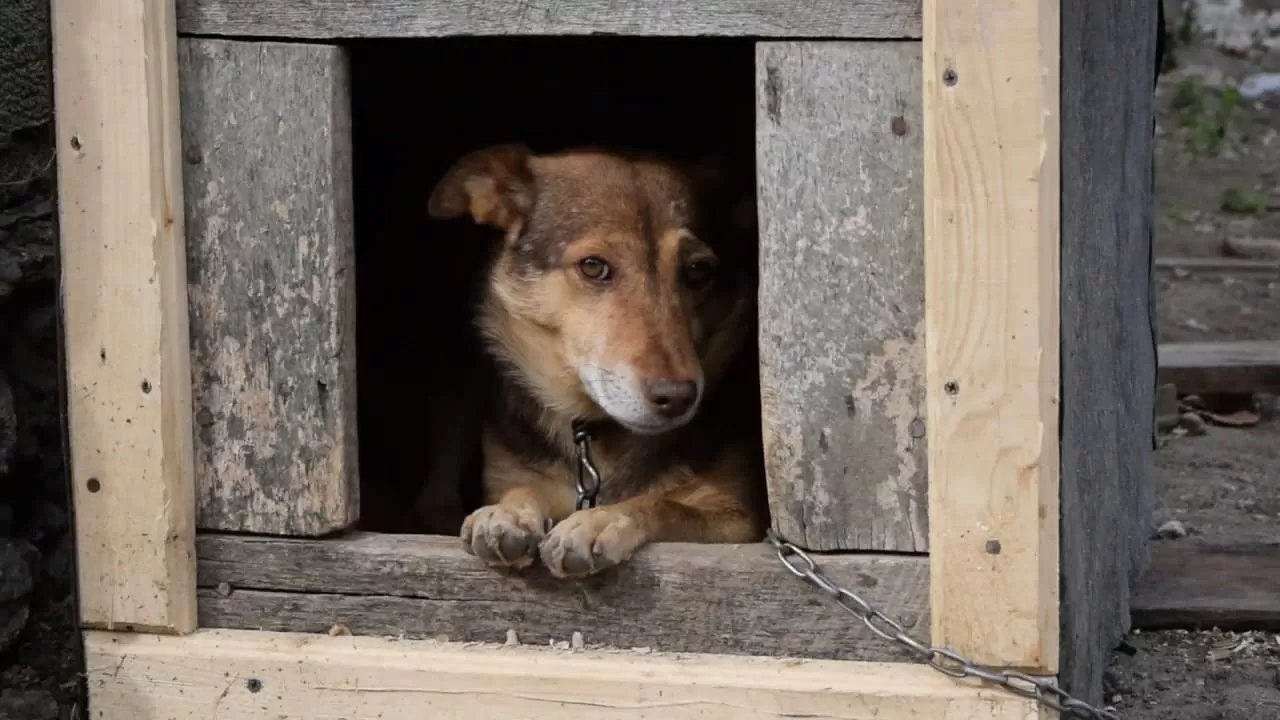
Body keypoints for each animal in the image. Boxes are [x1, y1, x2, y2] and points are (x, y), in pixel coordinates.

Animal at [430, 144, 768, 576]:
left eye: (698, 272)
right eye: (593, 266)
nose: (678, 397)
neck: (593, 436)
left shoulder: (739, 518)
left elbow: (663, 504)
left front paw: (598, 521)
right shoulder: (511, 472)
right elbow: (521, 489)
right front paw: (507, 512)